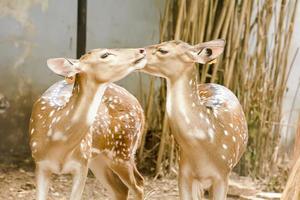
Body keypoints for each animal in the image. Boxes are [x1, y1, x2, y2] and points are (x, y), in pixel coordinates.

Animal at [28, 47, 146, 200]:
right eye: (105, 54)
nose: (142, 50)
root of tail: (140, 108)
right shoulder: (40, 163)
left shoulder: (82, 163)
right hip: (100, 159)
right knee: (122, 189)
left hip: (122, 150)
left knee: (138, 184)